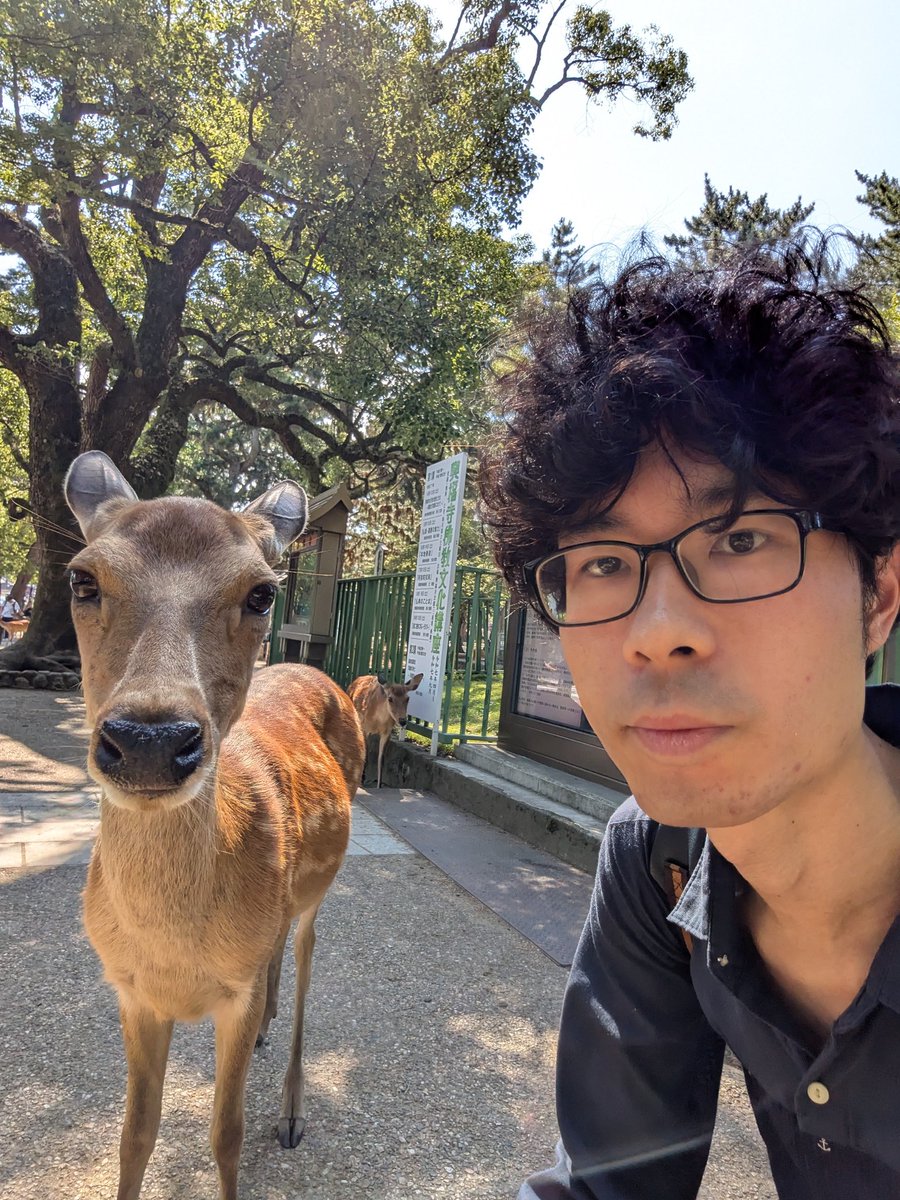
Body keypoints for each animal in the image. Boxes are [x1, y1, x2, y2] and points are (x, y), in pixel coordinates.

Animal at [63, 451, 365, 1200]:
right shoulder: (131, 990)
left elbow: (224, 1134)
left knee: (305, 953)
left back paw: (290, 1110)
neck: (173, 952)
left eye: (260, 594)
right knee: (280, 948)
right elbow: (134, 1135)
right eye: (82, 577)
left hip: (322, 889)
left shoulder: (233, 994)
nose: (150, 740)